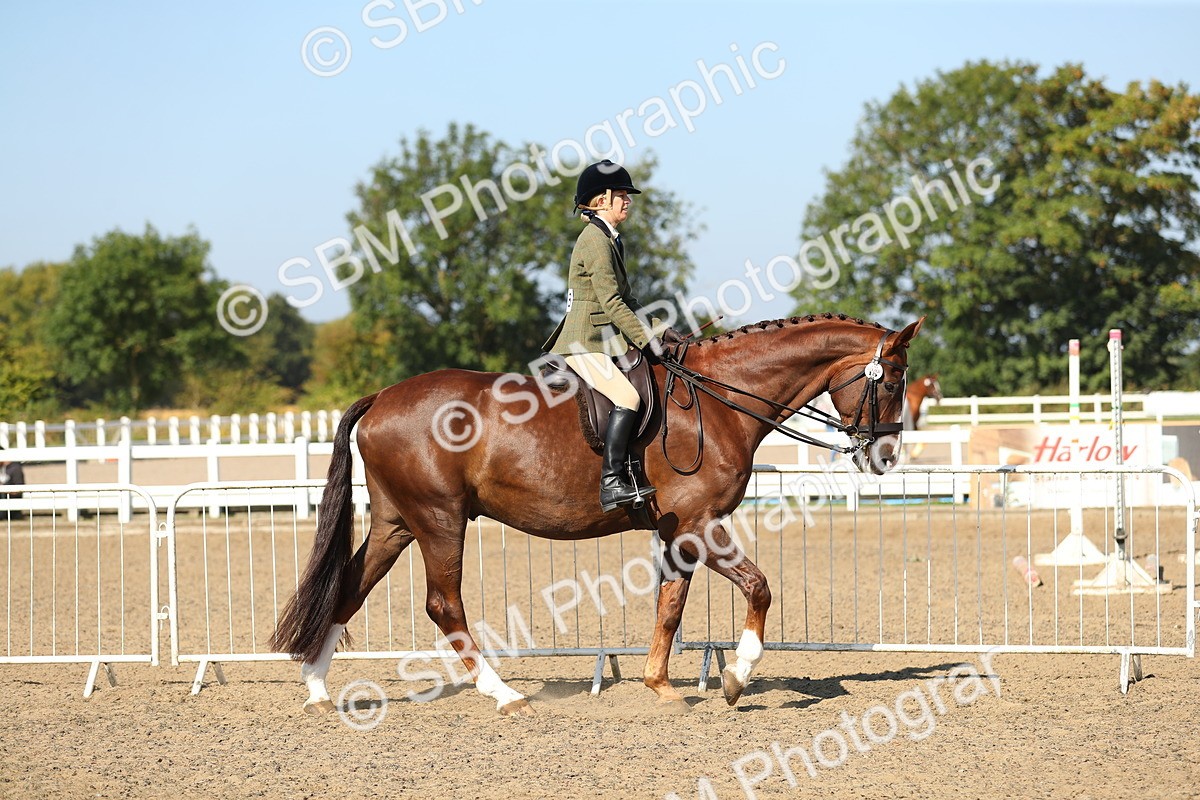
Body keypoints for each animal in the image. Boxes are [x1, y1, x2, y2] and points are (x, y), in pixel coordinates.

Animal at [270, 313, 924, 715]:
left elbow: (670, 606)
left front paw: (660, 684)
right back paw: (503, 693)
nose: (886, 456)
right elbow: (758, 587)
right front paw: (737, 678)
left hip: (396, 523)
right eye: (893, 380)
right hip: (439, 520)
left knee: (349, 587)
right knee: (442, 605)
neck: (720, 399)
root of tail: (382, 397)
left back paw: (317, 688)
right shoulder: (700, 523)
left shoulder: (677, 531)